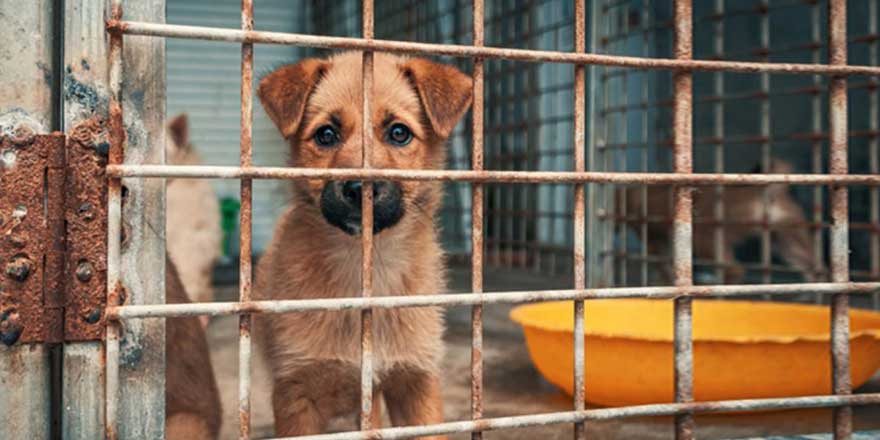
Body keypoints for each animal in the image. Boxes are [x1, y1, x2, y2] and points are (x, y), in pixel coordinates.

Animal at [254, 50, 474, 436]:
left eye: (399, 133)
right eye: (326, 134)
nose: (360, 189)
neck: (363, 267)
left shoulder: (415, 380)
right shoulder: (296, 389)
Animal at [620, 160, 824, 284]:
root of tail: (764, 193)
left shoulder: (654, 241)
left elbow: (663, 266)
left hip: (706, 239)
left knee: (734, 270)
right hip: (790, 239)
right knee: (816, 268)